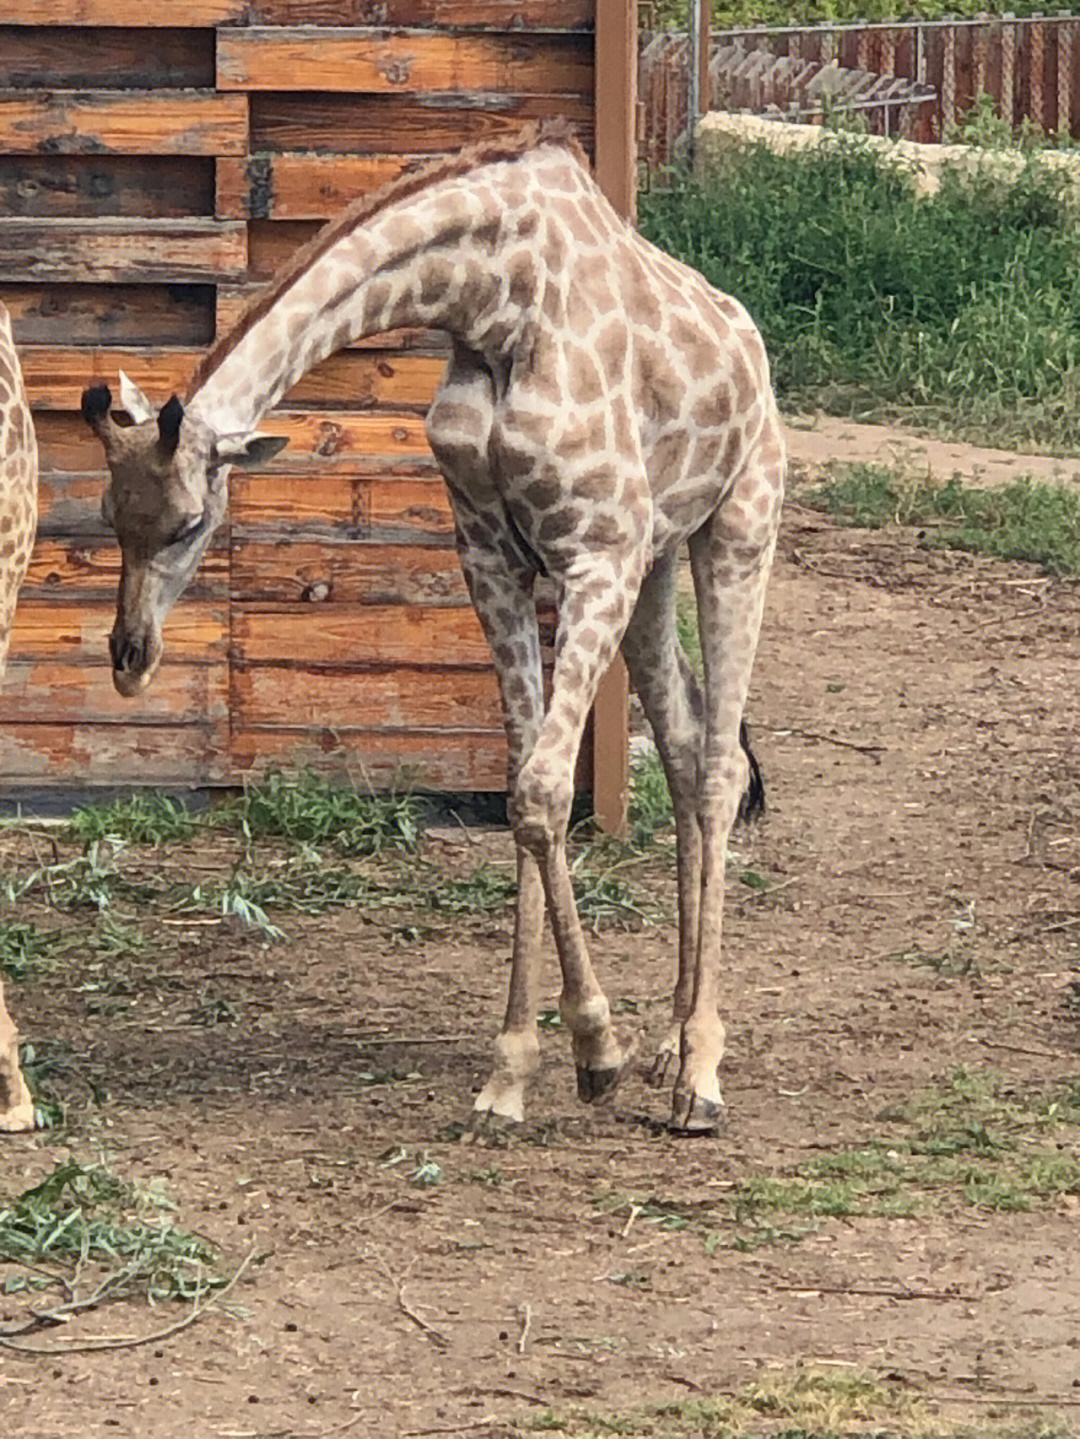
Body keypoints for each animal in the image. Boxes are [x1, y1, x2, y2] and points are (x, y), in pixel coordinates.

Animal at [78, 123, 788, 1133]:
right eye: (110, 516)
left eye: (185, 524)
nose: (130, 659)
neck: (493, 306)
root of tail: (750, 343)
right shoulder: (491, 555)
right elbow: (525, 789)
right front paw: (518, 1070)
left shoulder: (595, 553)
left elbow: (542, 789)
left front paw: (595, 1048)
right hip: (656, 561)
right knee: (689, 749)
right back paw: (667, 1044)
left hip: (736, 523)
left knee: (724, 765)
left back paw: (699, 1074)